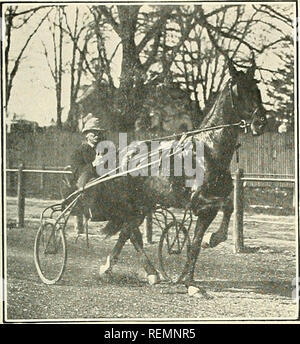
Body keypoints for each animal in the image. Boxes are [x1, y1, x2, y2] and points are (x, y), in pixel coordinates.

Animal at [74, 60, 266, 296]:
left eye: (257, 89)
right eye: (240, 90)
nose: (260, 122)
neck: (208, 150)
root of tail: (120, 156)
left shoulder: (208, 208)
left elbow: (206, 231)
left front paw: (193, 275)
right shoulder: (198, 202)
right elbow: (220, 209)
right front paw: (207, 249)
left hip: (143, 204)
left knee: (128, 232)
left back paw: (124, 270)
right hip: (131, 205)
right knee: (132, 234)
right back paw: (138, 271)